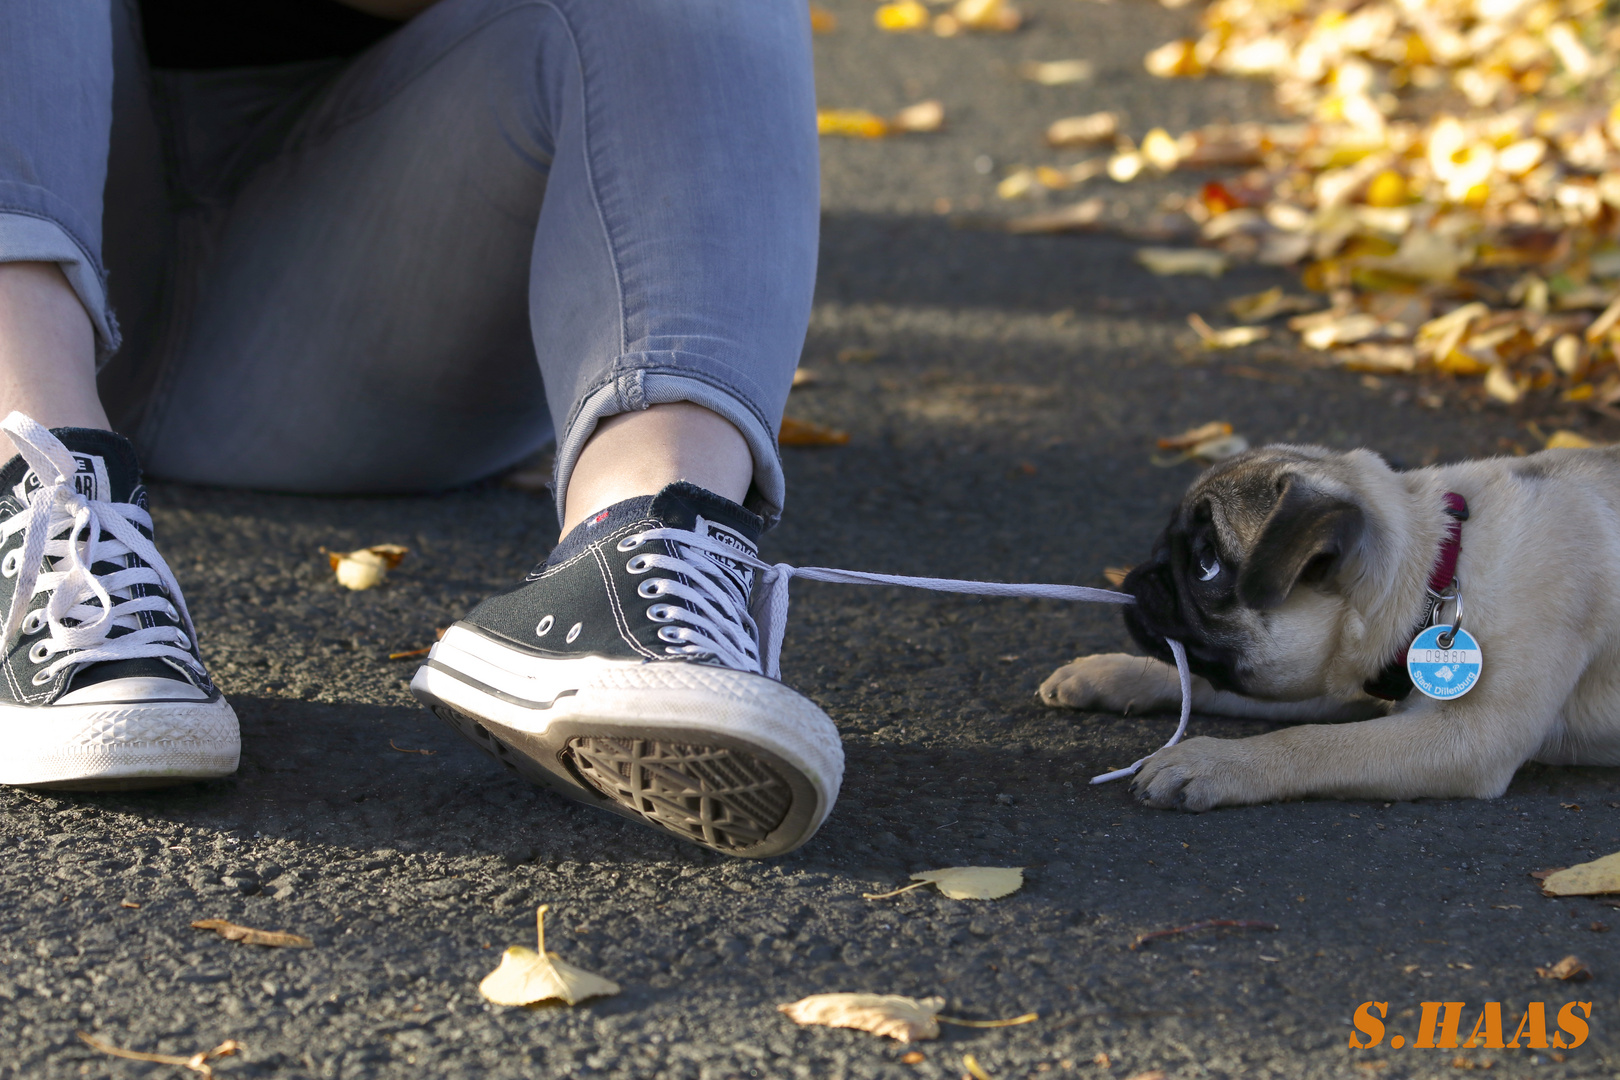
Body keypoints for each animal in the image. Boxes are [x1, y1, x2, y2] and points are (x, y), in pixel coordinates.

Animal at [1036, 446, 1620, 809]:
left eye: (1206, 564)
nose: (1145, 570)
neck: (1438, 570)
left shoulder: (1471, 738)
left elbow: (1312, 742)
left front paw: (1211, 761)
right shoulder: (1342, 680)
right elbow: (1202, 682)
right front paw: (1109, 674)